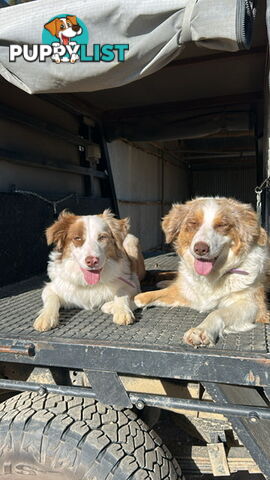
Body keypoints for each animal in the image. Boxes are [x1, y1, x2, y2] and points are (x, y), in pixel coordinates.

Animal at [134, 197, 268, 346]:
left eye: (222, 225)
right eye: (193, 223)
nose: (200, 249)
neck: (212, 276)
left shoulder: (253, 305)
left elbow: (217, 313)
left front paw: (200, 330)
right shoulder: (187, 293)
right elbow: (139, 297)